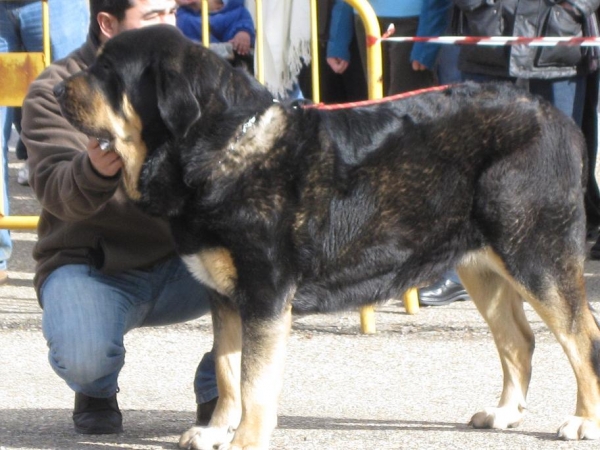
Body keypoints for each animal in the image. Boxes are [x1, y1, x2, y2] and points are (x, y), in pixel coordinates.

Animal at [55, 25, 600, 450]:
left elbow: (253, 382)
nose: (58, 91)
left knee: (582, 339)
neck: (219, 148)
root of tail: (559, 120)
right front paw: (216, 431)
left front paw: (246, 439)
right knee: (519, 340)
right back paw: (504, 413)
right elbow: (229, 374)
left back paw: (584, 420)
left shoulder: (266, 295)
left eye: (108, 71)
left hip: (536, 257)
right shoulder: (226, 297)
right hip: (481, 264)